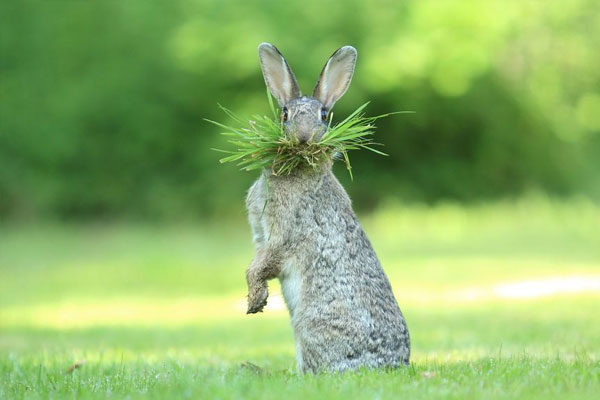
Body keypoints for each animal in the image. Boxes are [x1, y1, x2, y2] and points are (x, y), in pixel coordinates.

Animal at [244, 42, 408, 374]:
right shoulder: (260, 235)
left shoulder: (282, 234)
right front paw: (258, 299)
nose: (304, 137)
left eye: (323, 114)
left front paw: (254, 300)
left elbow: (264, 263)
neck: (298, 169)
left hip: (309, 323)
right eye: (284, 113)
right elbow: (257, 264)